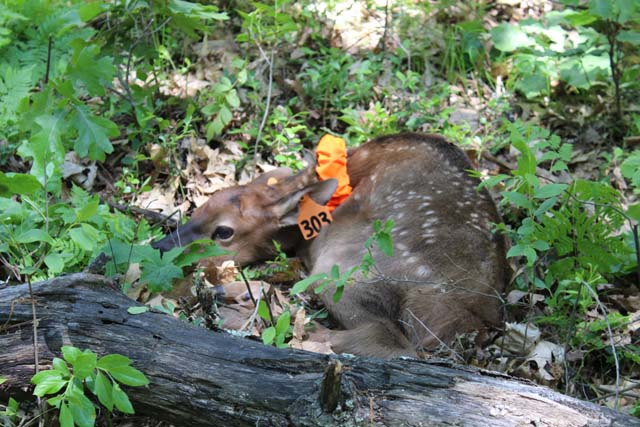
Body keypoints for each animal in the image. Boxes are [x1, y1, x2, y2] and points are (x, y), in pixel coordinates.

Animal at [153, 133, 507, 358]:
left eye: (224, 231)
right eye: (200, 208)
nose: (161, 245)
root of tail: (472, 317)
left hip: (348, 267)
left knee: (394, 343)